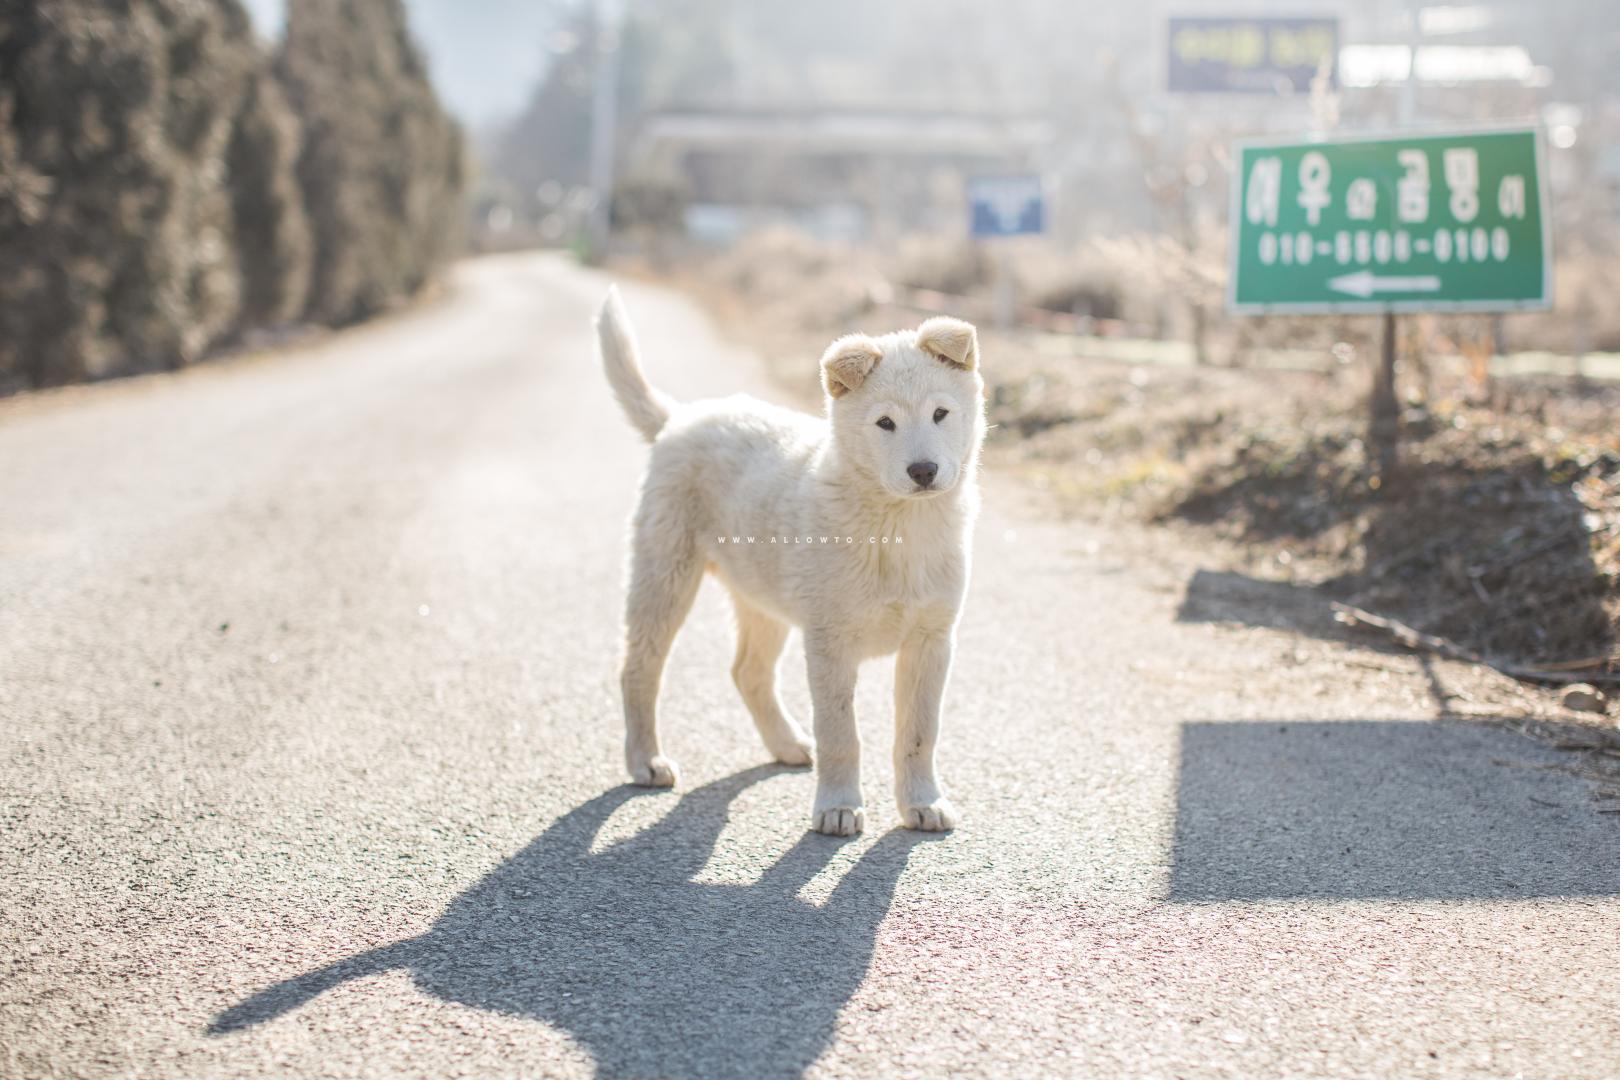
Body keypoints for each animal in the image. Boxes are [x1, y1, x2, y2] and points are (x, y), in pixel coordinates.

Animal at [592, 286, 978, 835]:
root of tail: (680, 419)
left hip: (761, 599)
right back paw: (646, 761)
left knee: (747, 672)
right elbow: (842, 733)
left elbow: (919, 733)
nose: (923, 471)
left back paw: (787, 743)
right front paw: (838, 807)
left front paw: (923, 802)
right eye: (885, 423)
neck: (899, 526)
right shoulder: (829, 643)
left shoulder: (932, 641)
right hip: (664, 576)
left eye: (941, 413)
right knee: (639, 669)